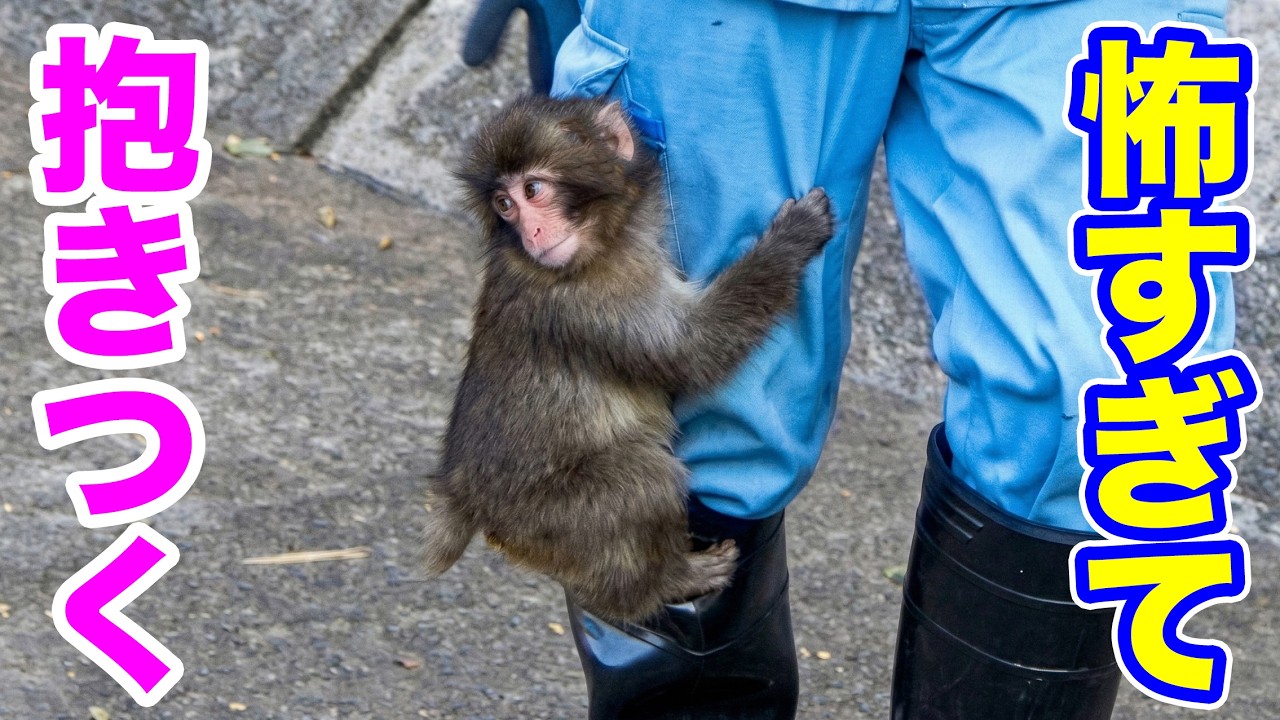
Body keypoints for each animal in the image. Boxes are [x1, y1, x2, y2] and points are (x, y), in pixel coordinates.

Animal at [422, 94, 834, 623]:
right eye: (504, 205)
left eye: (531, 189)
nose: (531, 232)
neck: (605, 243)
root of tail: (465, 501)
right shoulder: (595, 301)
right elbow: (692, 349)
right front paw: (794, 237)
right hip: (546, 518)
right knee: (644, 479)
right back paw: (664, 584)